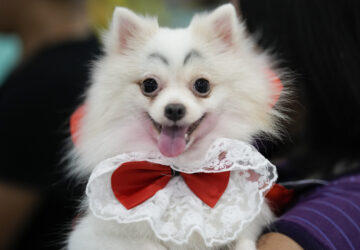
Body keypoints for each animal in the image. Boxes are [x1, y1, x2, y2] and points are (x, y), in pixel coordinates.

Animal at [67, 3, 286, 250]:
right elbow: (148, 245)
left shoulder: (249, 220)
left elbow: (245, 239)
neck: (179, 169)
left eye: (202, 85)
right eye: (149, 85)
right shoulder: (92, 235)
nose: (174, 109)